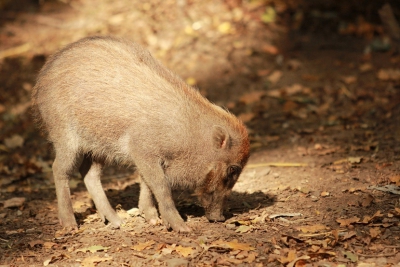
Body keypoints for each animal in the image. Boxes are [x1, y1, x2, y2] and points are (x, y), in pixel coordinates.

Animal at [31, 35, 250, 232]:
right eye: (232, 170)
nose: (220, 218)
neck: (189, 136)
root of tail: (41, 78)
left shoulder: (147, 158)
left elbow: (146, 183)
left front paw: (153, 220)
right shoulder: (142, 150)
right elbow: (160, 186)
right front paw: (181, 228)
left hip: (98, 147)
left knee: (89, 175)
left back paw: (117, 223)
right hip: (64, 135)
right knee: (59, 169)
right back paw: (70, 226)